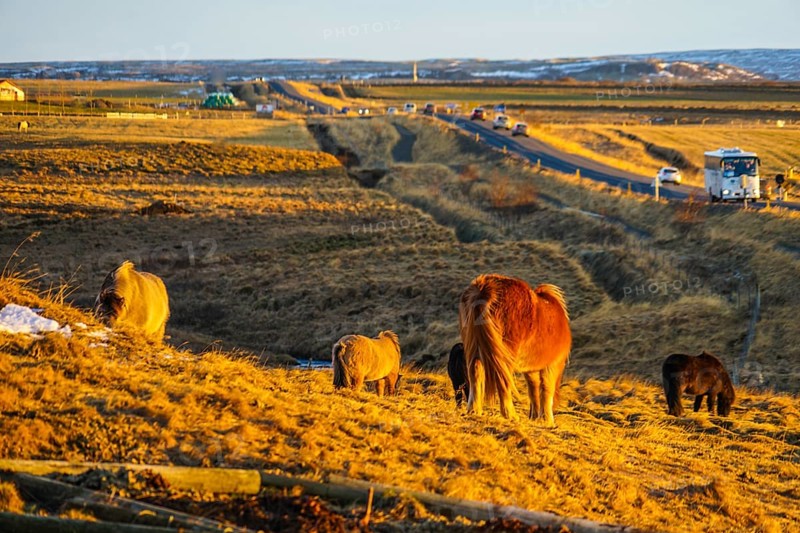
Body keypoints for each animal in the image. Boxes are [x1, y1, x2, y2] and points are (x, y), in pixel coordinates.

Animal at [459, 274, 571, 426]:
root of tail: (484, 288)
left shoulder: (531, 369)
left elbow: (533, 389)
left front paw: (535, 416)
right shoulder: (552, 365)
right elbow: (547, 389)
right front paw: (547, 420)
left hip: (474, 349)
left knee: (475, 373)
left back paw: (474, 410)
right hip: (505, 354)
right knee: (503, 381)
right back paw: (510, 415)